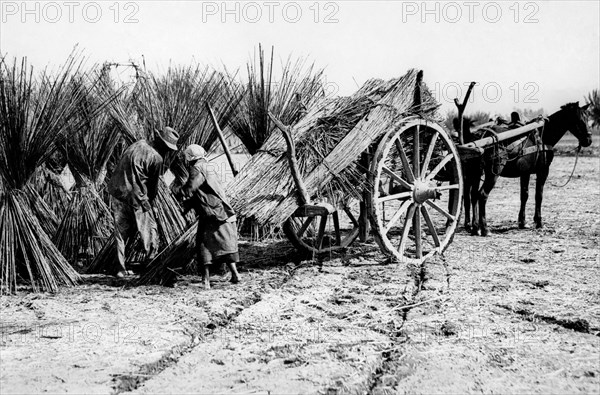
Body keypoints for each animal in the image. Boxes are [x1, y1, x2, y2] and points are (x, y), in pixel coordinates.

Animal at [460, 103, 592, 237]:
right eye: (579, 120)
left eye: (588, 119)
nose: (588, 140)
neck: (543, 137)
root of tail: (480, 136)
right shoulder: (543, 171)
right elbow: (539, 195)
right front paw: (538, 222)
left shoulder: (525, 173)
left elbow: (524, 195)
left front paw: (522, 222)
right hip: (492, 174)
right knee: (482, 195)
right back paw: (485, 228)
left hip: (475, 172)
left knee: (473, 195)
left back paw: (475, 227)